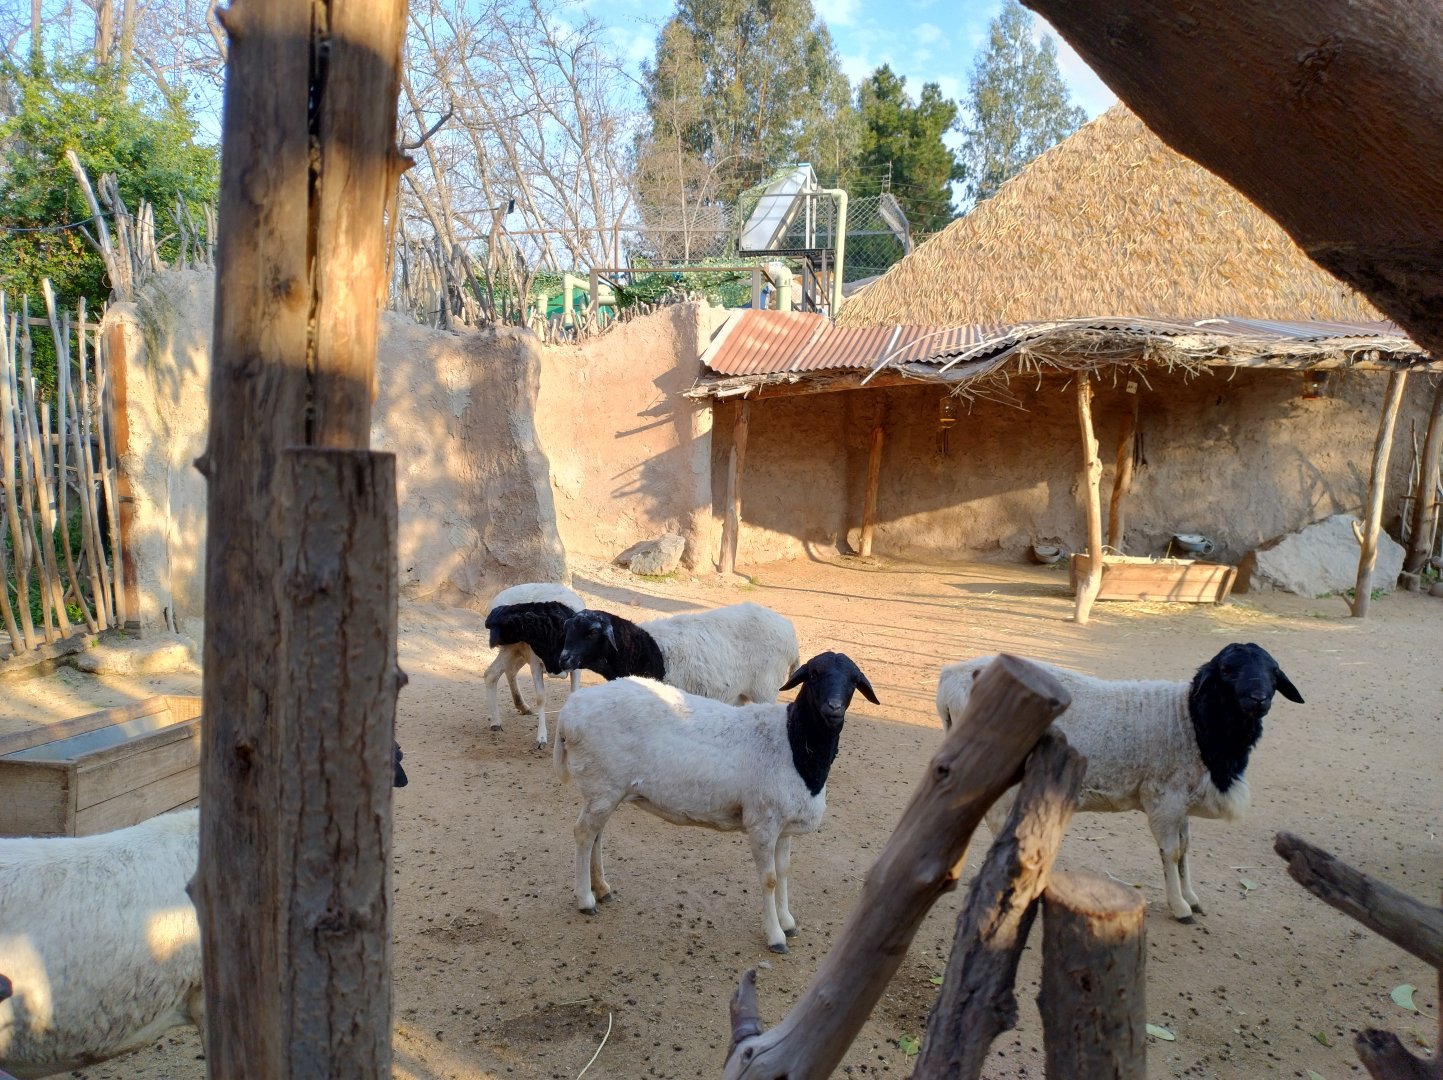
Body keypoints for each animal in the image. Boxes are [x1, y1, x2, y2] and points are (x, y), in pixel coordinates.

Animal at [483, 582, 586, 749]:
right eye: (535, 639)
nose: (490, 624)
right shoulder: (536, 663)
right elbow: (541, 698)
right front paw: (541, 739)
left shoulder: (576, 667)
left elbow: (574, 694)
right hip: (513, 649)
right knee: (494, 673)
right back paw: (497, 721)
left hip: (515, 650)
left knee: (501, 672)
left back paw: (517, 710)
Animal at [553, 651, 877, 953]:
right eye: (814, 674)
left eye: (853, 680)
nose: (833, 708)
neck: (795, 745)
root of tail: (570, 710)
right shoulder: (762, 822)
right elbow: (770, 878)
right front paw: (775, 936)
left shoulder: (784, 826)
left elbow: (784, 871)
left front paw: (787, 921)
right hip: (602, 785)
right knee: (583, 834)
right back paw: (585, 900)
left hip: (606, 790)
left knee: (596, 836)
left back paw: (602, 889)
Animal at [557, 601, 800, 706]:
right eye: (566, 630)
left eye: (591, 633)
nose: (563, 659)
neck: (640, 650)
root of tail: (790, 632)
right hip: (739, 693)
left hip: (766, 690)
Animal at [936, 643, 1303, 922]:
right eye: (1227, 669)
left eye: (1274, 672)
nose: (1259, 698)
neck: (1191, 719)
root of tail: (949, 677)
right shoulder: (1163, 799)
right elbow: (1171, 852)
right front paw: (1180, 907)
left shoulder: (1181, 801)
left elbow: (1185, 849)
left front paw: (1192, 898)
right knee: (998, 823)